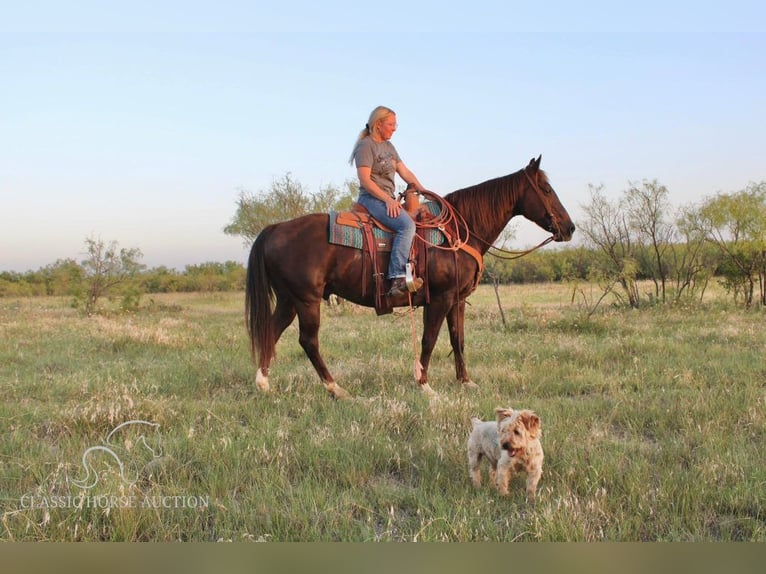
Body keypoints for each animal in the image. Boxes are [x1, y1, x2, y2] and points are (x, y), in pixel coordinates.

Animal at [246, 158, 576, 400]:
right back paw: (335, 388)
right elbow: (429, 339)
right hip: (307, 300)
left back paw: (263, 383)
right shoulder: (440, 298)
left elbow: (458, 340)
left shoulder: (457, 300)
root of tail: (275, 228)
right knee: (308, 341)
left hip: (289, 300)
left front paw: (466, 382)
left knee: (272, 331)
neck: (457, 232)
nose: (570, 228)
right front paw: (424, 385)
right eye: (546, 189)